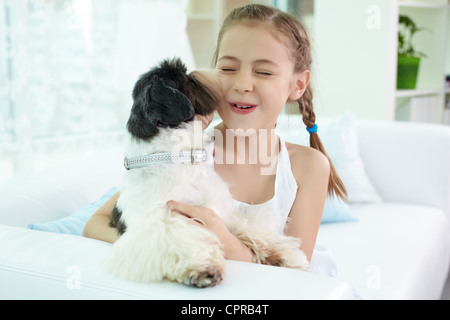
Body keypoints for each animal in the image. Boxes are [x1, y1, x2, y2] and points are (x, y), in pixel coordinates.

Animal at [102, 58, 308, 290]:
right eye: (189, 81)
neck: (176, 158)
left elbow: (249, 227)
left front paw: (283, 253)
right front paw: (202, 268)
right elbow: (180, 240)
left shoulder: (223, 213)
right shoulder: (160, 223)